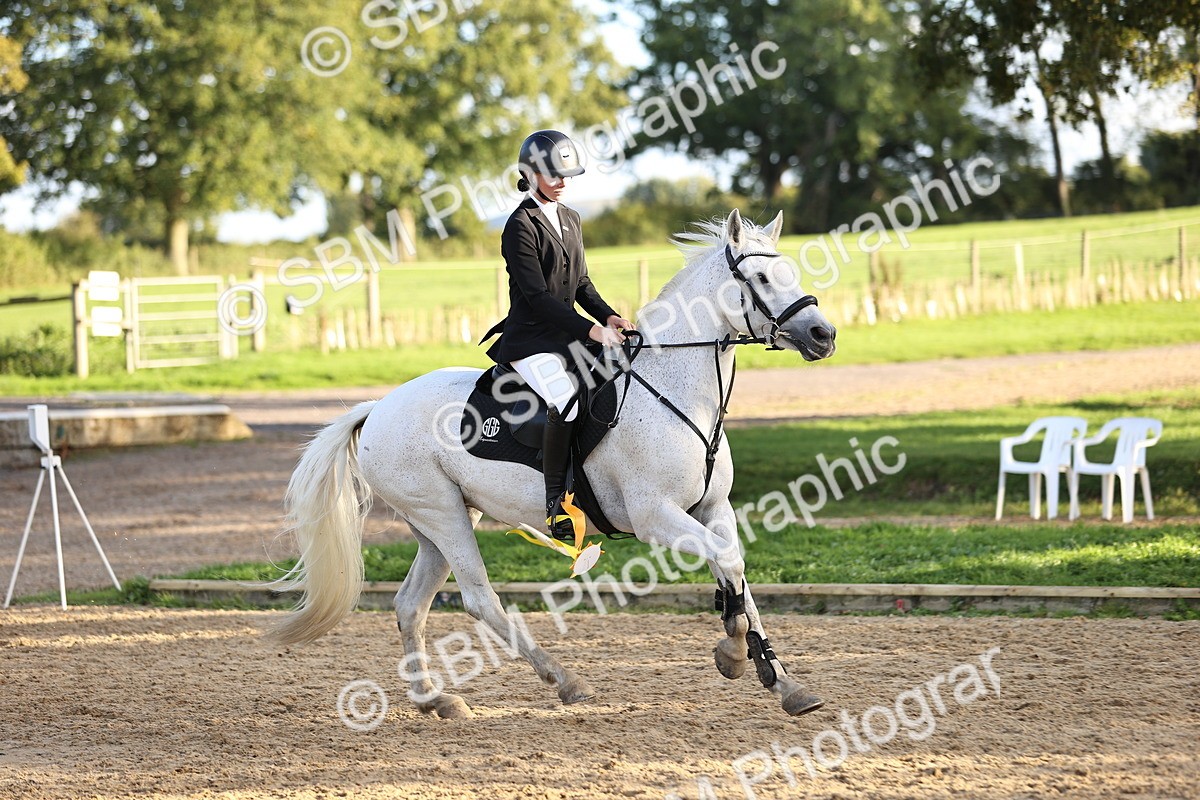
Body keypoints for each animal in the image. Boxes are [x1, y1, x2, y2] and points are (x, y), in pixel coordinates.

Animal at [270, 209, 838, 718]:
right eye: (760, 278)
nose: (823, 335)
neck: (675, 391)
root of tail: (378, 407)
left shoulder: (714, 509)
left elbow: (736, 573)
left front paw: (782, 682)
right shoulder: (655, 516)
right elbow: (729, 564)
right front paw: (735, 654)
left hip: (438, 519)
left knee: (411, 603)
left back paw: (434, 699)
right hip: (442, 515)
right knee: (478, 598)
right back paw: (563, 680)